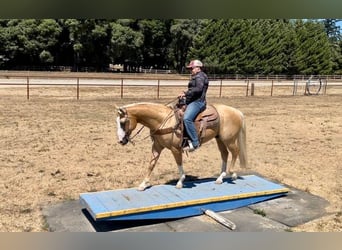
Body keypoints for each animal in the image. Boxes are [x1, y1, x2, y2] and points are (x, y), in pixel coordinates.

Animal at [116, 102, 247, 190]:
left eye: (123, 122)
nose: (121, 141)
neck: (163, 120)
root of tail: (237, 111)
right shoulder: (157, 147)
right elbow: (151, 164)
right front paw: (143, 184)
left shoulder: (175, 149)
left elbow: (179, 164)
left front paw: (180, 182)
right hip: (220, 139)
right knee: (224, 154)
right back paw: (220, 178)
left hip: (229, 140)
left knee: (235, 152)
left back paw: (233, 174)